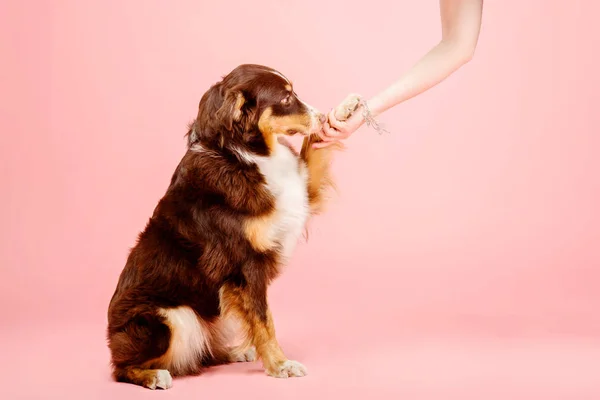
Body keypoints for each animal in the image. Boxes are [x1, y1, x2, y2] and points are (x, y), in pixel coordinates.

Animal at [105, 64, 344, 390]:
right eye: (286, 98)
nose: (320, 115)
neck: (244, 155)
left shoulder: (298, 197)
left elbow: (313, 152)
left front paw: (343, 115)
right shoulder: (245, 265)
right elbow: (264, 321)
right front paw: (280, 364)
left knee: (204, 352)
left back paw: (235, 352)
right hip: (170, 317)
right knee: (122, 368)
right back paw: (153, 376)